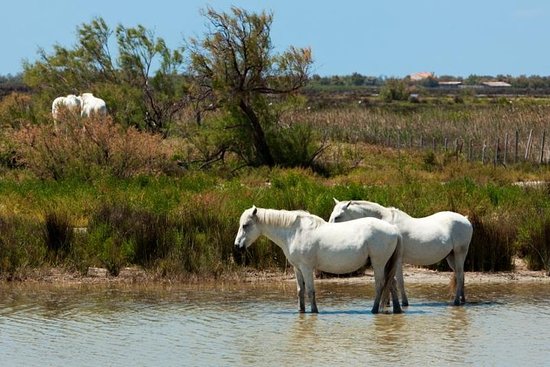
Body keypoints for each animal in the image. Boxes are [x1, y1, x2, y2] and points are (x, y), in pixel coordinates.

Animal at [234, 207, 406, 314]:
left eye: (246, 225)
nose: (237, 246)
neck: (294, 232)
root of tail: (394, 230)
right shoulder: (297, 268)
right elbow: (300, 291)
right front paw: (301, 311)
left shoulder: (306, 268)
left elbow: (310, 291)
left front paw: (314, 311)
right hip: (386, 265)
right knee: (391, 284)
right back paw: (396, 310)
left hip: (378, 264)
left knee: (380, 285)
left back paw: (374, 310)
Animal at [330, 200, 476, 306]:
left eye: (338, 217)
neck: (387, 223)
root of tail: (465, 219)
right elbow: (391, 280)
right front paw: (387, 303)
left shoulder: (398, 260)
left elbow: (399, 281)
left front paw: (404, 303)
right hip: (451, 257)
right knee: (461, 275)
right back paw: (462, 299)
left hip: (460, 253)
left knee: (460, 276)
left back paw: (456, 302)